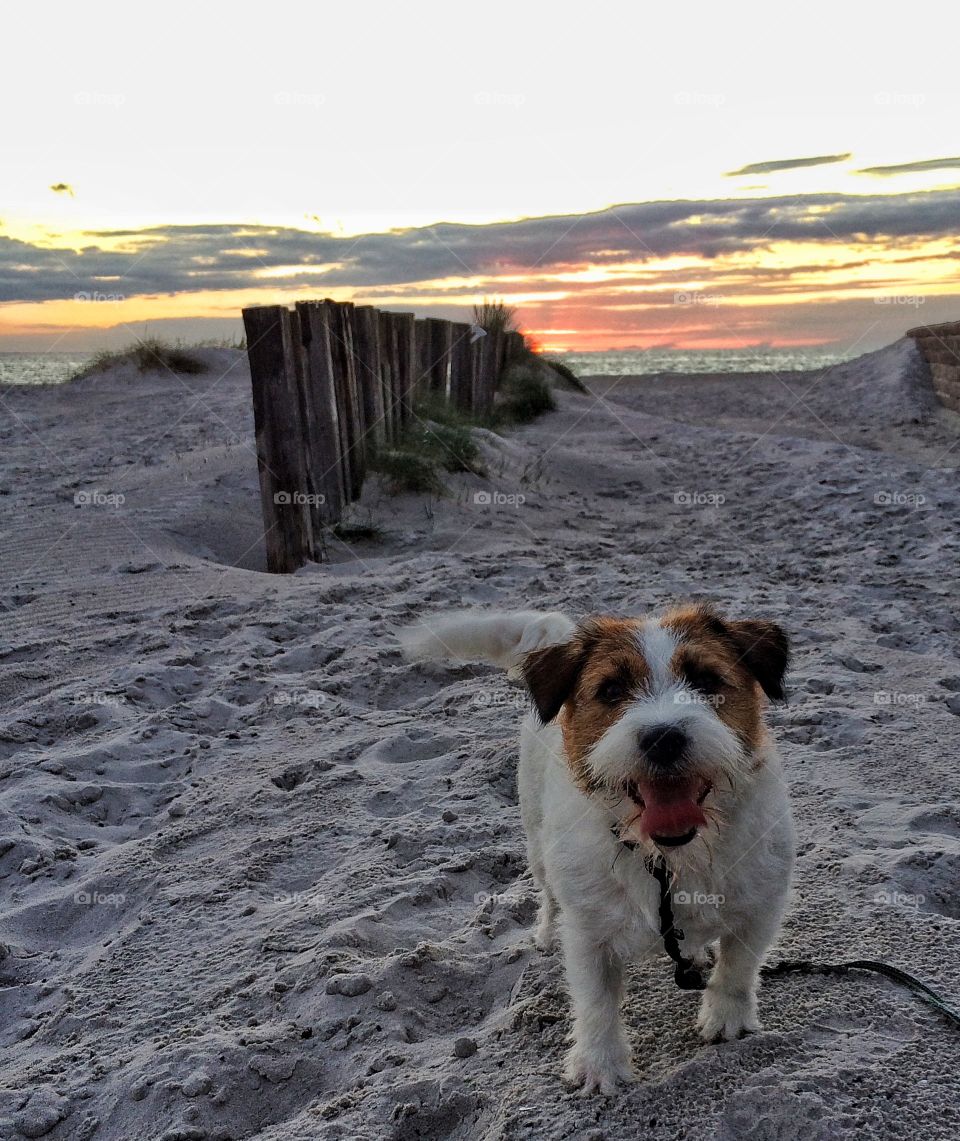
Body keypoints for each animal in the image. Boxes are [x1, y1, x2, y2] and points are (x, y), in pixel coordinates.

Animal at [401, 607, 799, 1095]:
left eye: (706, 680)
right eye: (610, 690)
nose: (663, 738)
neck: (667, 860)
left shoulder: (761, 906)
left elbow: (739, 968)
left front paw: (726, 1019)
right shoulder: (589, 935)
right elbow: (596, 1001)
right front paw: (598, 1064)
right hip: (537, 843)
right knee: (548, 895)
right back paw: (546, 933)